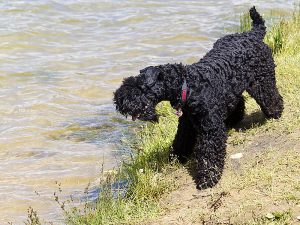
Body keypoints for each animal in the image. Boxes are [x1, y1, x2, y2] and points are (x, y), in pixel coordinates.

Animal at [113, 7, 284, 189]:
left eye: (139, 87)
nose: (118, 100)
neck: (189, 86)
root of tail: (253, 34)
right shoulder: (187, 123)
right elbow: (181, 141)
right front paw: (176, 158)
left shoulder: (210, 128)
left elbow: (209, 153)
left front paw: (208, 178)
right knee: (239, 102)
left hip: (262, 81)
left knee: (271, 96)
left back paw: (275, 112)